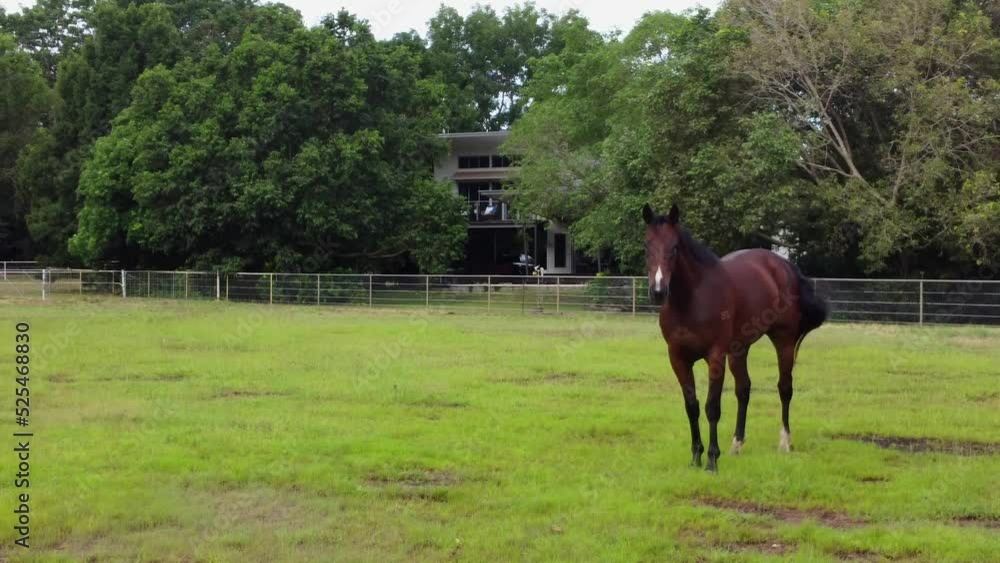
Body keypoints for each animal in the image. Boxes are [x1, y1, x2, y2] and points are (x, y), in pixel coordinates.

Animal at [643, 203, 828, 472]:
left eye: (674, 248)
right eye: (647, 246)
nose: (658, 292)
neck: (692, 299)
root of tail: (783, 264)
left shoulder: (715, 356)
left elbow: (712, 407)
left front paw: (711, 460)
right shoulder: (677, 358)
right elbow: (692, 406)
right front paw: (695, 457)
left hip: (783, 341)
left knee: (785, 388)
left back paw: (784, 442)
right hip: (740, 349)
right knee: (744, 389)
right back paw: (737, 444)